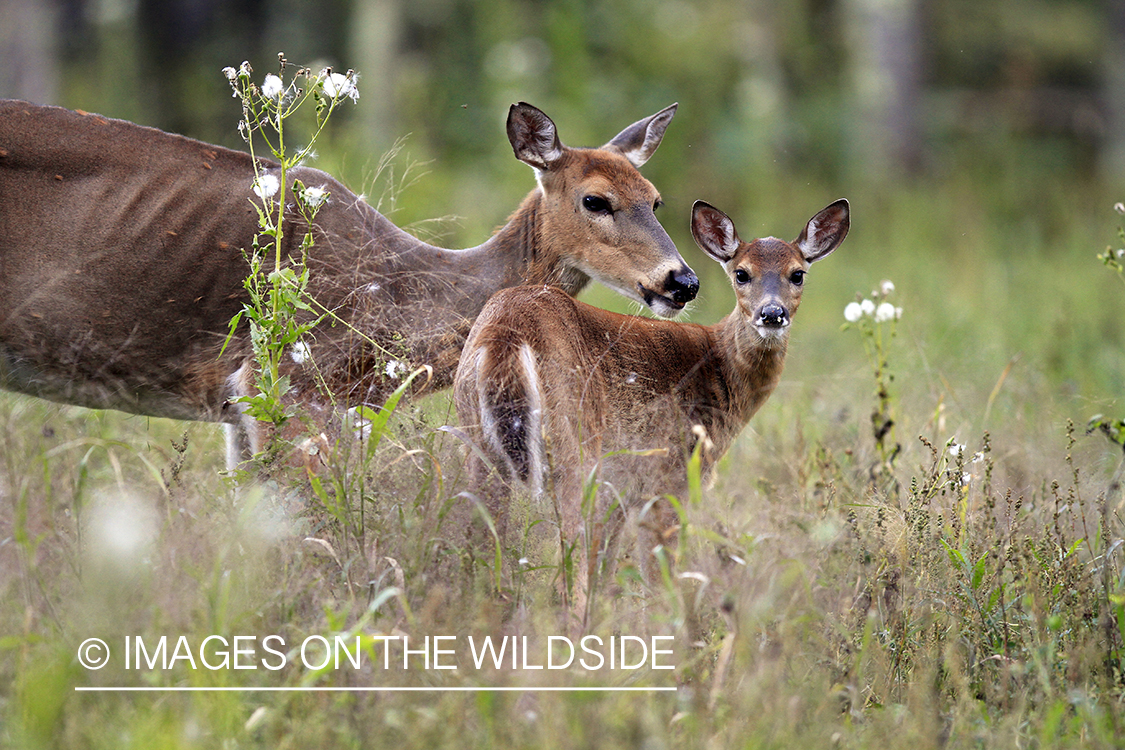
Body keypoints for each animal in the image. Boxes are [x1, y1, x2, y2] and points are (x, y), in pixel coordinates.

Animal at [0, 99, 698, 469]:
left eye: (657, 199)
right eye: (595, 199)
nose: (683, 280)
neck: (394, 297)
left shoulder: (240, 404)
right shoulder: (286, 379)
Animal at [453, 198, 849, 619]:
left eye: (797, 274)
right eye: (741, 273)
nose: (771, 314)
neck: (719, 366)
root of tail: (506, 334)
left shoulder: (623, 491)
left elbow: (606, 565)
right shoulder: (669, 474)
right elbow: (658, 573)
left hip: (481, 443)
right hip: (573, 441)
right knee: (566, 567)